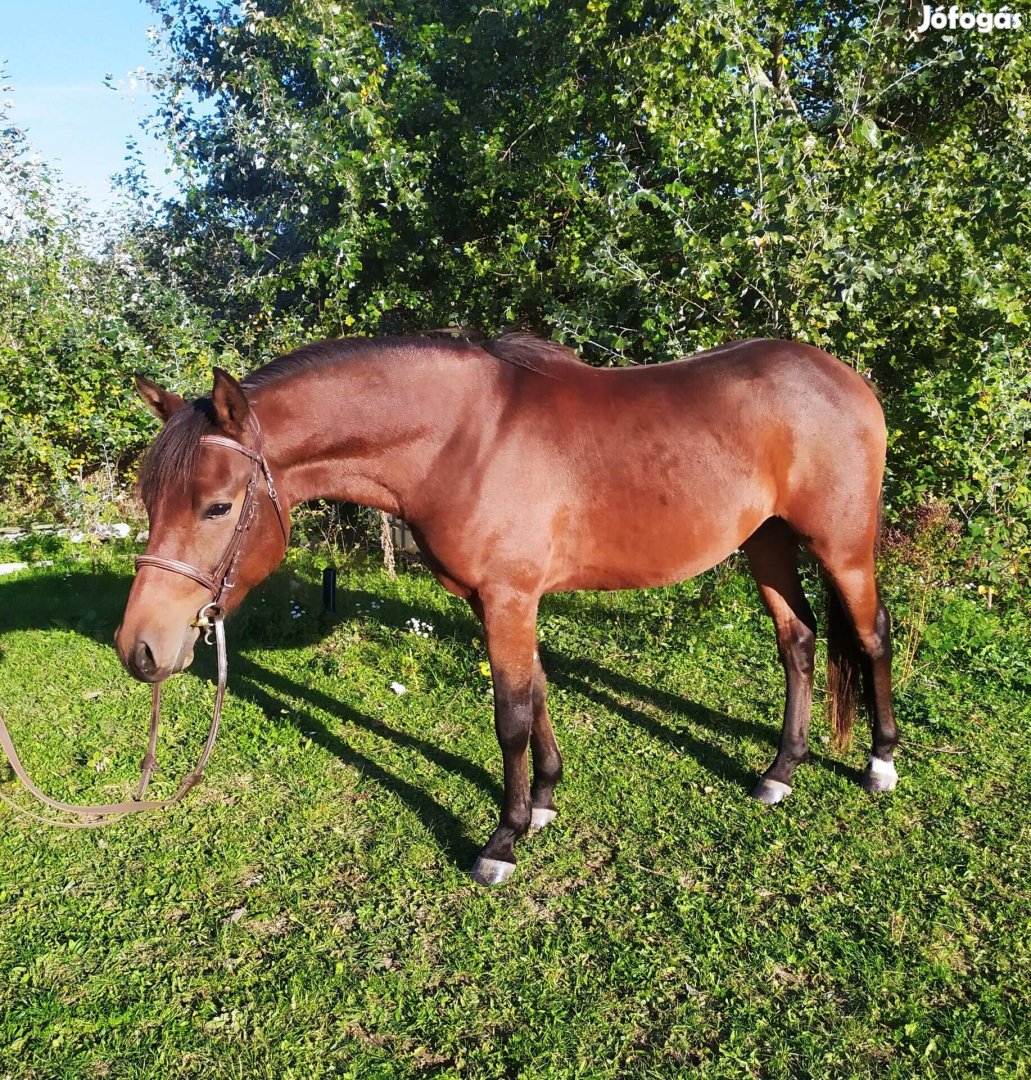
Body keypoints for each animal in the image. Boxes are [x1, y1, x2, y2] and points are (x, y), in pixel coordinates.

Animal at [117, 334, 898, 885]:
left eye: (218, 506)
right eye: (150, 501)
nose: (140, 649)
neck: (464, 440)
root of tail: (844, 378)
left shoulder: (509, 598)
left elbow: (511, 715)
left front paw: (504, 838)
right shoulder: (501, 601)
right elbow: (538, 694)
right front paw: (546, 801)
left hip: (841, 546)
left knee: (871, 636)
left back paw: (880, 762)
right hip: (766, 542)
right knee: (797, 641)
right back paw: (780, 771)